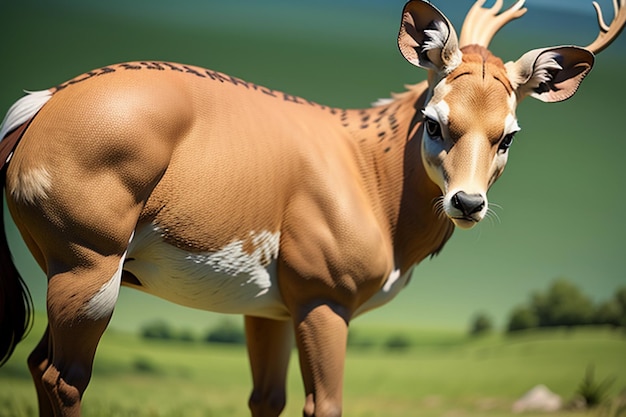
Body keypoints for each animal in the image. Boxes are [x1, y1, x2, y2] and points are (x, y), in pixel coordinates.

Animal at [0, 0, 620, 414]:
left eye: (508, 135)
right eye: (435, 121)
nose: (467, 201)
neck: (371, 181)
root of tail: (39, 104)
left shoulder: (268, 304)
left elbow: (266, 399)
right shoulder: (323, 291)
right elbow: (324, 405)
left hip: (65, 260)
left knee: (35, 363)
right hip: (89, 256)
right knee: (64, 376)